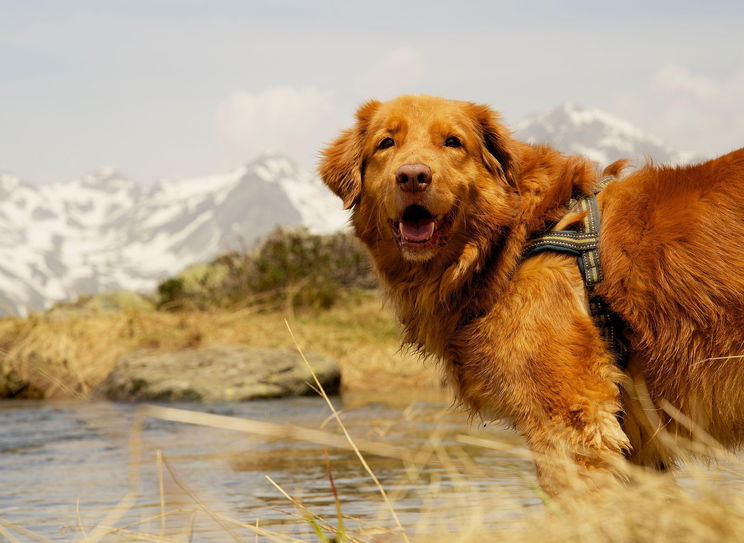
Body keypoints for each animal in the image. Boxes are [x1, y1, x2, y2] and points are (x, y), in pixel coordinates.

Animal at [318, 95, 744, 496]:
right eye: (386, 143)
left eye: (453, 142)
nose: (412, 176)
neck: (514, 239)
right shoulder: (636, 446)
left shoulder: (570, 421)